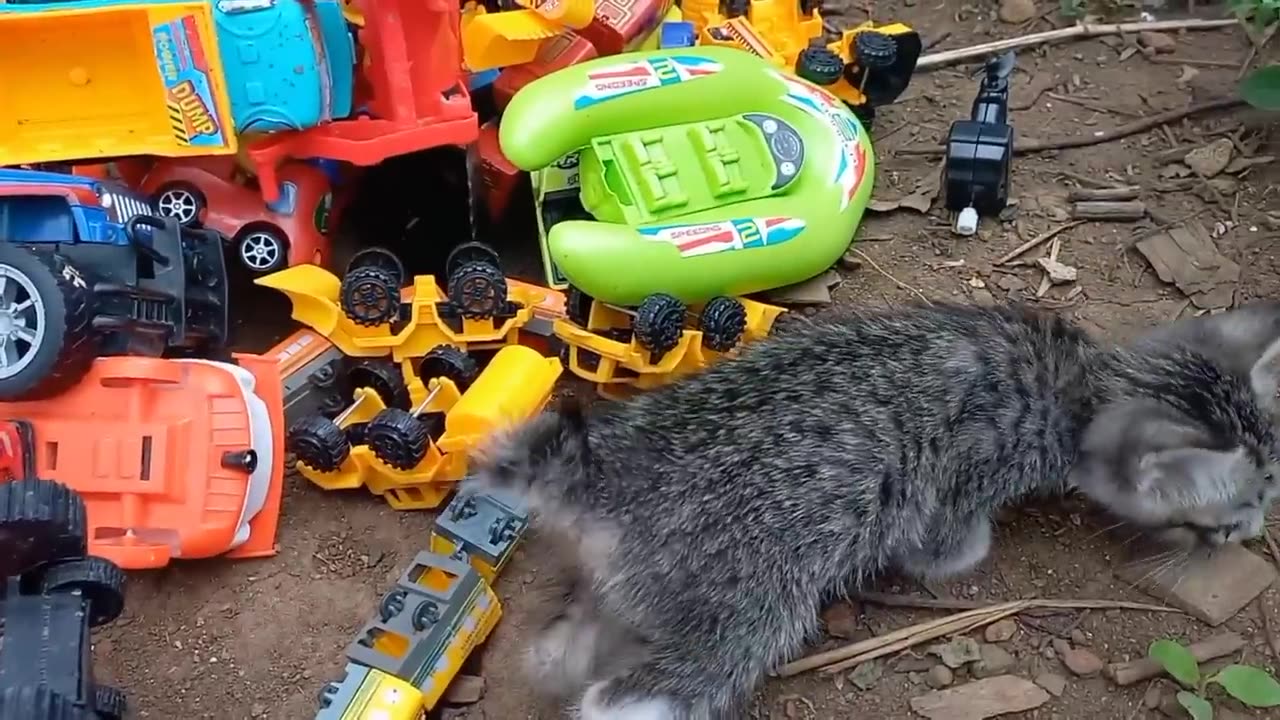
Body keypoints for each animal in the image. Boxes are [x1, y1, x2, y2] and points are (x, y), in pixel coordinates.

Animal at [468, 299, 1280, 712]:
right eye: (1228, 515)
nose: (1255, 531)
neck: (1076, 383)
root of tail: (604, 471)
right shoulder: (964, 474)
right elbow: (943, 541)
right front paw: (956, 556)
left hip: (636, 587)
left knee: (560, 651)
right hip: (746, 610)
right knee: (639, 694)